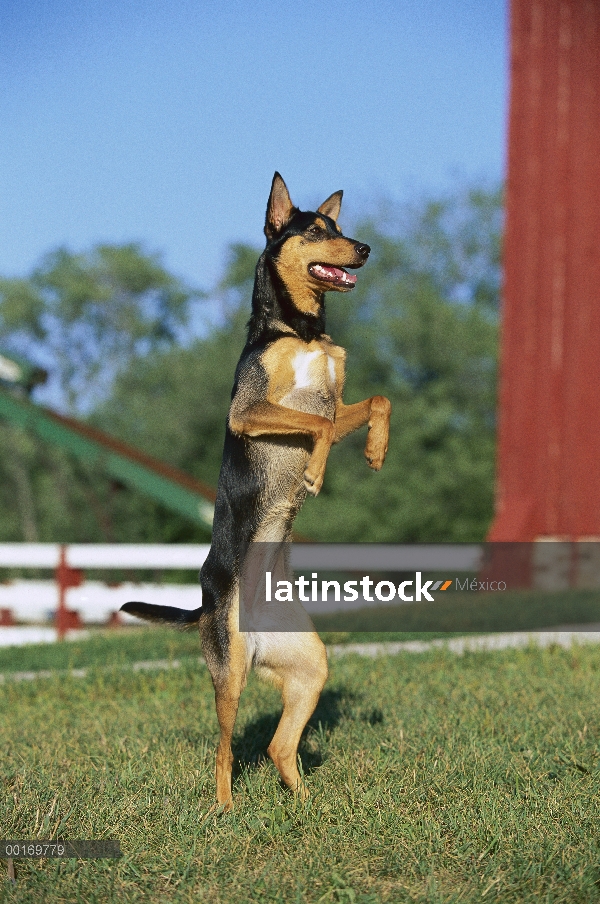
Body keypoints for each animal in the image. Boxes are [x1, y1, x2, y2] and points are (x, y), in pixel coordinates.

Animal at [122, 173, 394, 808]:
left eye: (339, 226)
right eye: (315, 231)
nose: (365, 248)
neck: (301, 330)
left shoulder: (338, 398)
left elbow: (373, 402)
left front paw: (375, 451)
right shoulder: (249, 412)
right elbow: (317, 424)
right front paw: (315, 472)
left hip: (310, 669)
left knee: (277, 747)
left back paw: (307, 806)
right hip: (231, 675)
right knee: (224, 750)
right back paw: (224, 810)